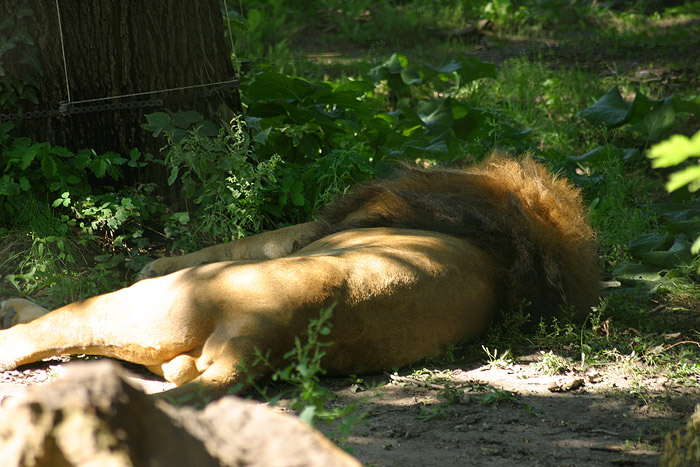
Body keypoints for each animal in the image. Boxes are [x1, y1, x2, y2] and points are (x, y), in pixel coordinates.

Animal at [0, 157, 600, 398]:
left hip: (155, 303)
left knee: (45, 331)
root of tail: (265, 337)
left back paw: (14, 310)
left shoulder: (315, 226)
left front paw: (153, 259)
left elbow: (251, 237)